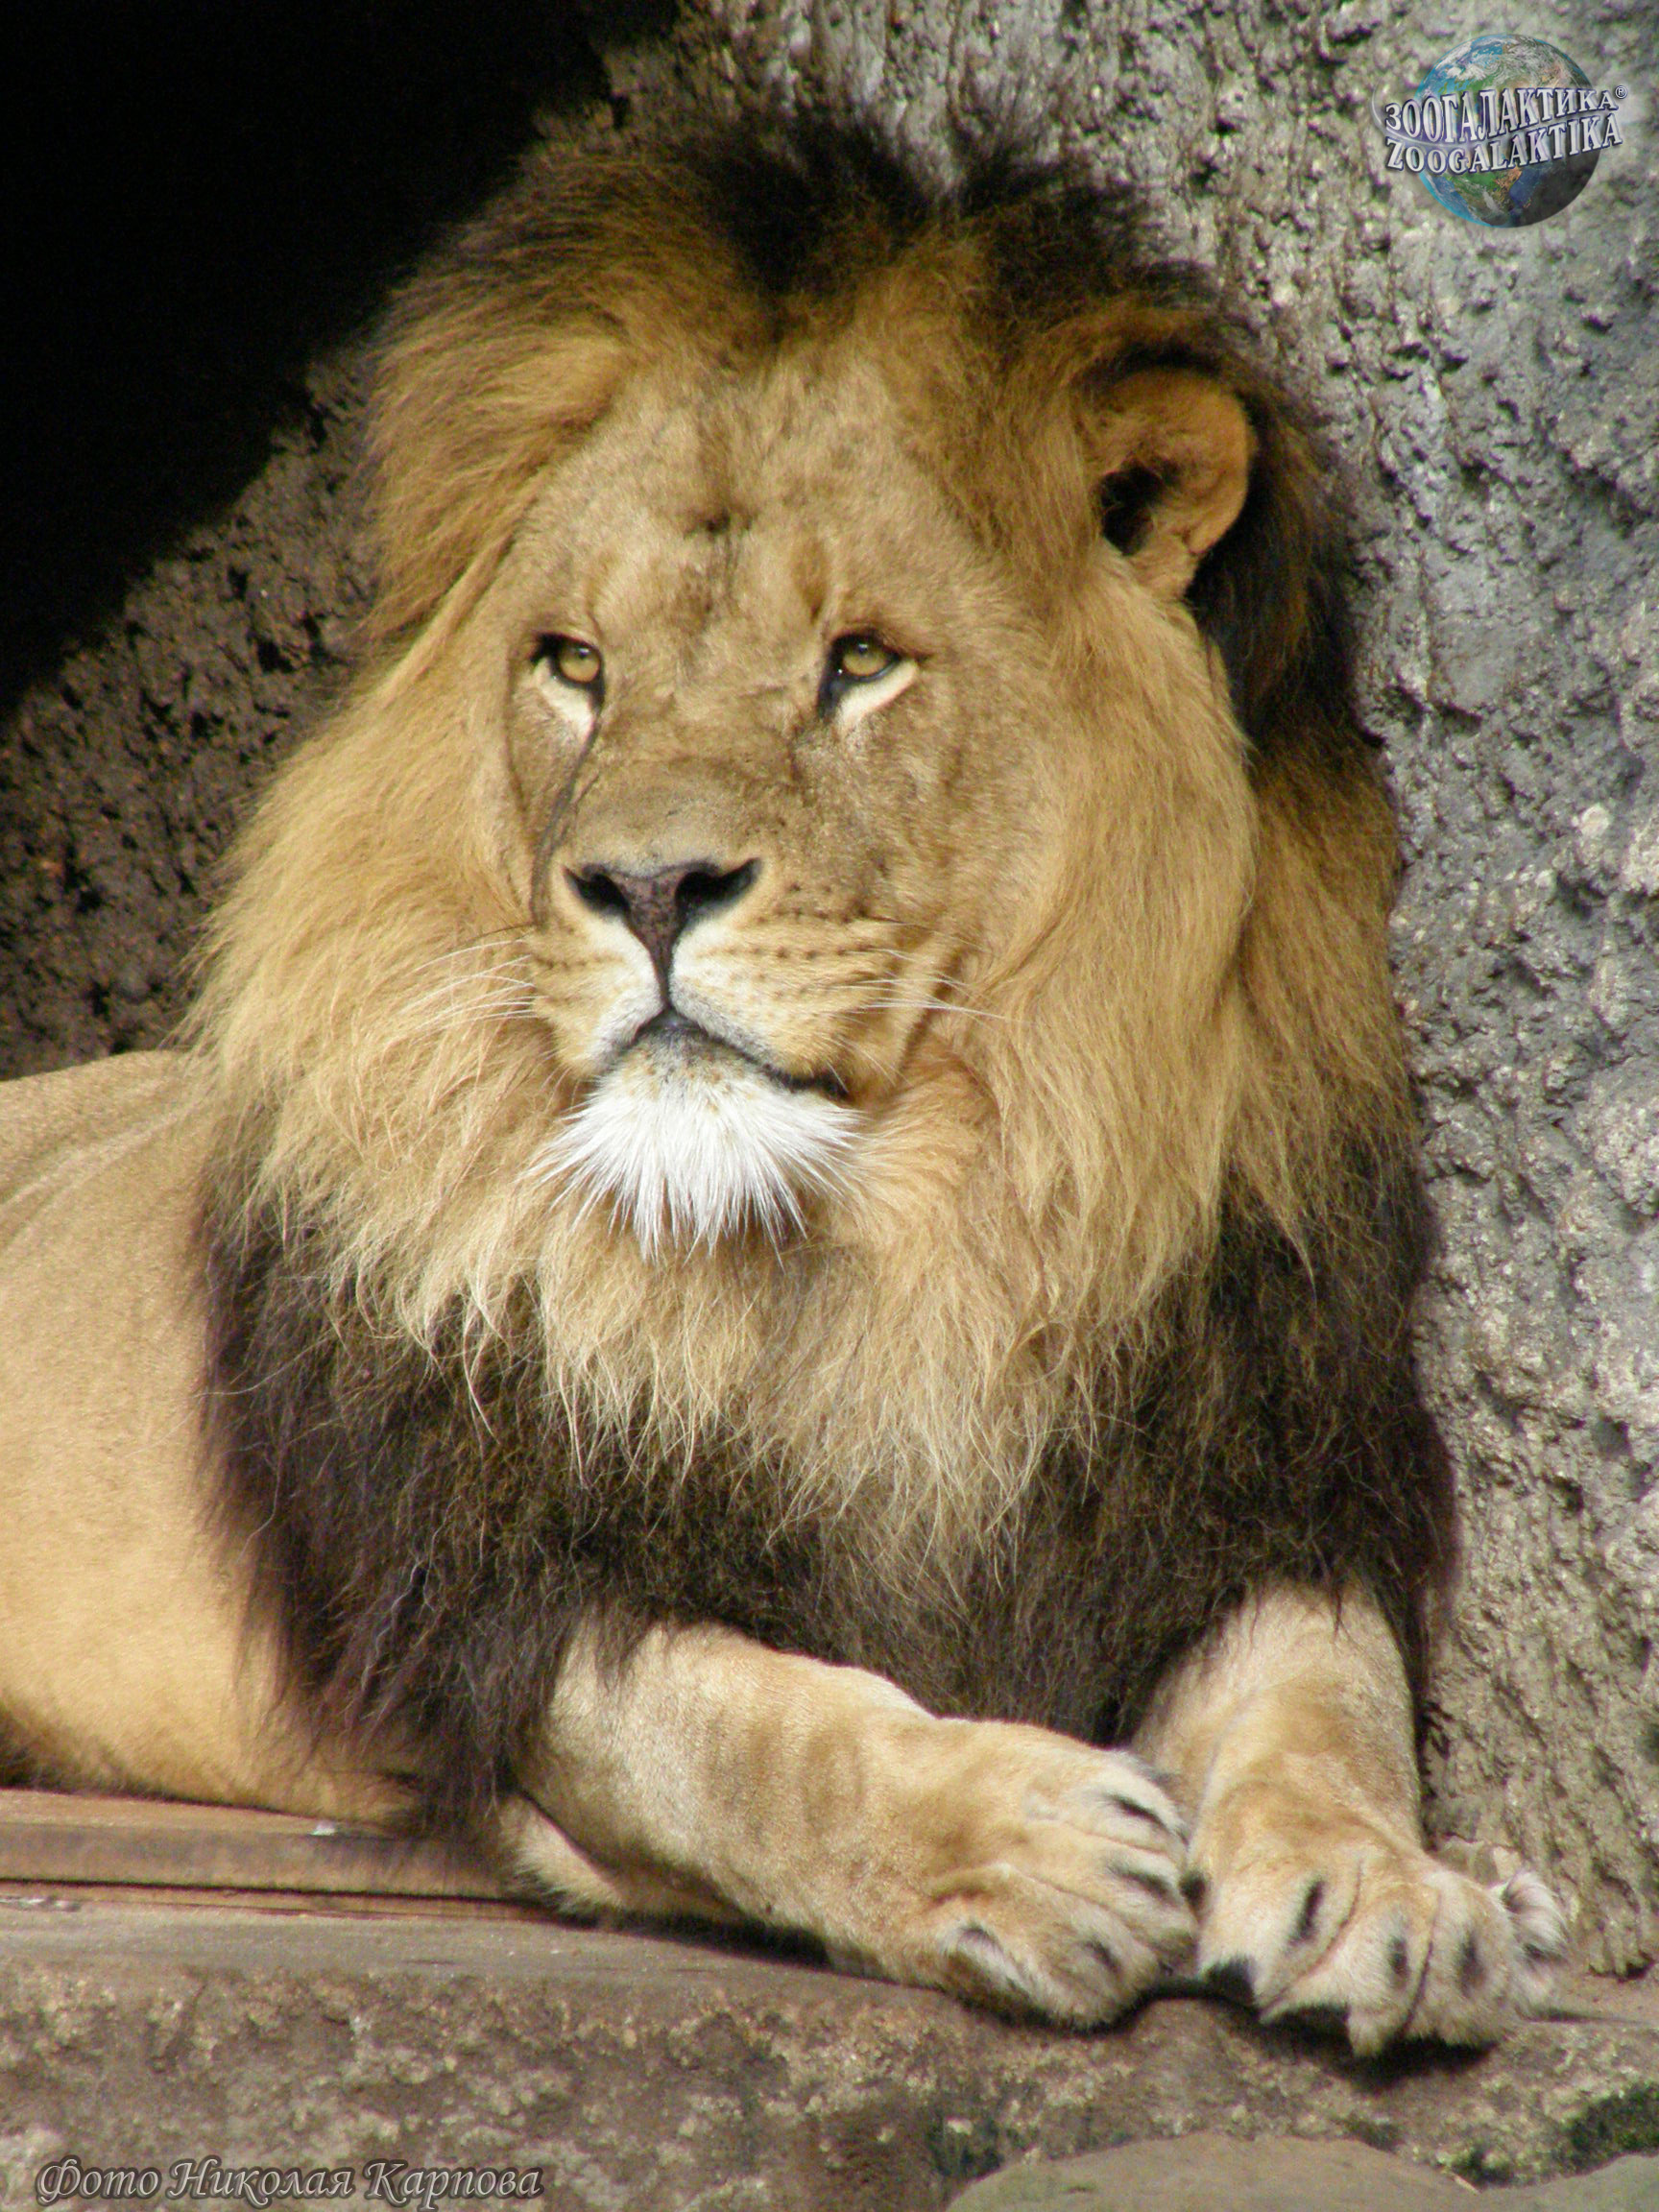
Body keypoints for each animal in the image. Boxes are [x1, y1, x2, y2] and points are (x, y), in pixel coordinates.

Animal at [0, 125, 1566, 2053]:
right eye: (575, 665)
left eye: (860, 662)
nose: (648, 885)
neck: (898, 1227)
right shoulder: (512, 1591)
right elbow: (761, 1736)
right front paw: (1025, 1843)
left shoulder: (1248, 1465)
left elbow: (1325, 1697)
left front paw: (1398, 1886)